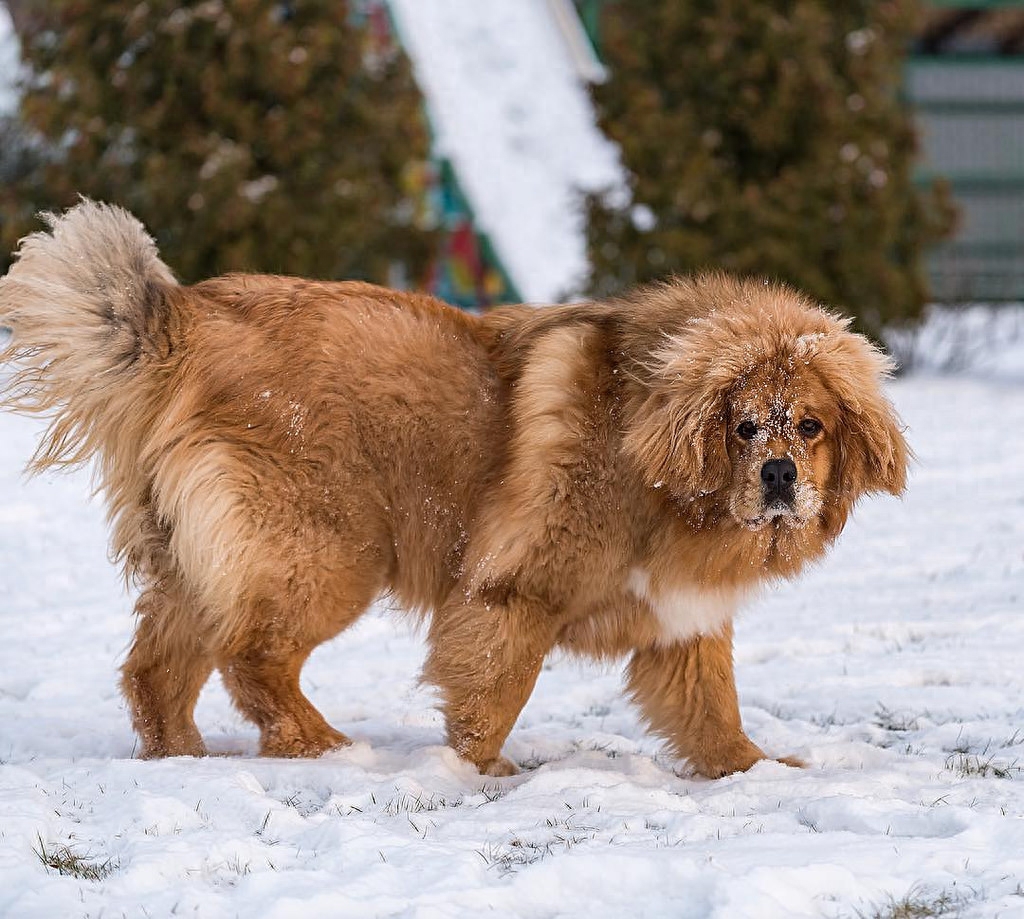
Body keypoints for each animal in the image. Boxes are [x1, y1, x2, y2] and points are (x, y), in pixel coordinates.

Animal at [0, 200, 913, 774]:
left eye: (811, 426)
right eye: (744, 425)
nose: (779, 474)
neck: (664, 472)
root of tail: (187, 317)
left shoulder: (681, 621)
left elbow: (716, 715)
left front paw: (757, 769)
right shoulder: (513, 591)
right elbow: (494, 691)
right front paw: (480, 770)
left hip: (201, 560)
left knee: (157, 672)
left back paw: (183, 758)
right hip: (325, 553)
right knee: (250, 658)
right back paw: (322, 745)